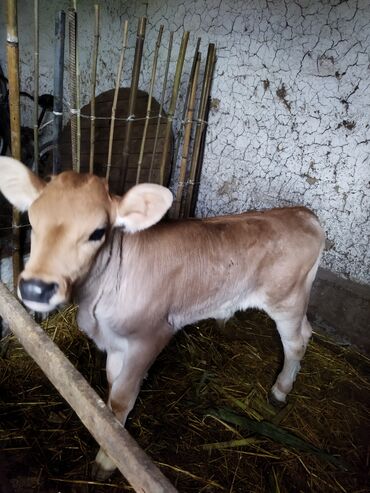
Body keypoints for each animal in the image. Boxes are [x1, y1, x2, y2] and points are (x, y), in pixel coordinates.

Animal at [0, 158, 324, 476]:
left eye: (97, 232)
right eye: (32, 221)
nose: (36, 288)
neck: (96, 303)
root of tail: (302, 213)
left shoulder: (151, 337)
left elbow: (122, 397)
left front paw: (108, 461)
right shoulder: (115, 342)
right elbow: (111, 388)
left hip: (286, 299)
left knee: (296, 342)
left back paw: (280, 391)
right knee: (307, 331)